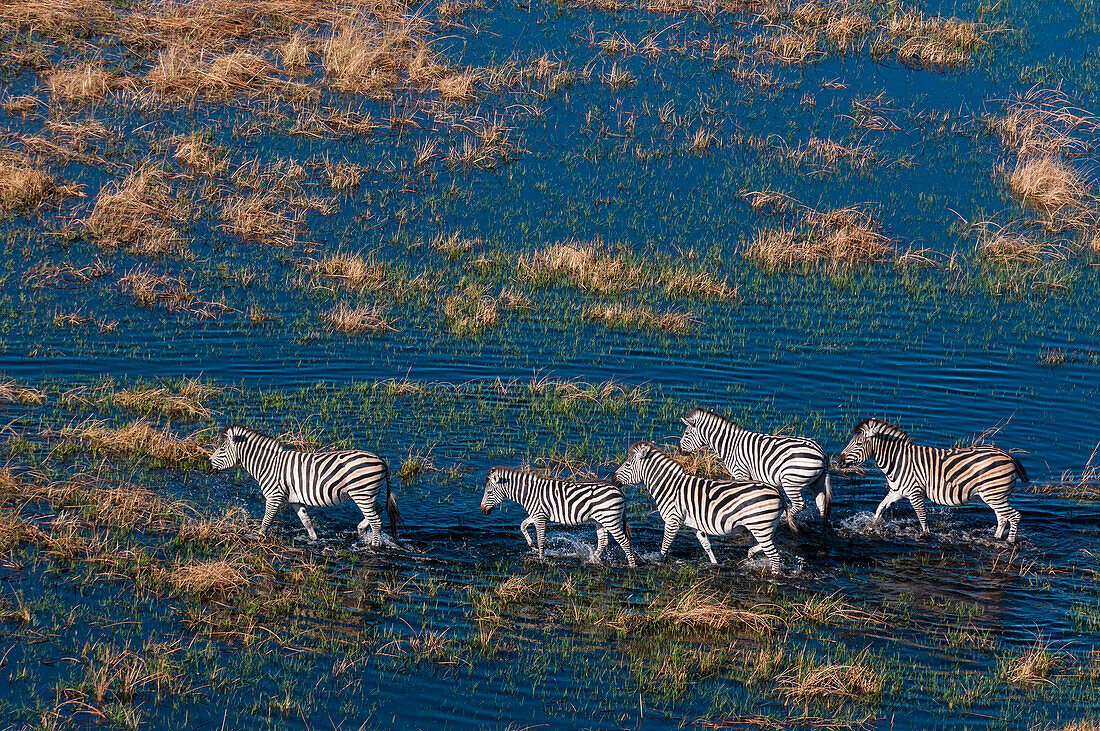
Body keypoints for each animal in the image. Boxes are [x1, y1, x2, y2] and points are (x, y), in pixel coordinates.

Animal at [207, 422, 402, 547]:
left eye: (222, 449)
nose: (207, 466)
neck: (268, 464)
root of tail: (382, 462)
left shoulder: (274, 496)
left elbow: (266, 521)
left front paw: (258, 538)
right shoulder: (295, 499)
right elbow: (306, 521)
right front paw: (313, 539)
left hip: (362, 493)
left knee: (376, 521)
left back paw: (374, 547)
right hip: (368, 494)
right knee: (377, 510)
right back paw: (361, 530)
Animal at [479, 463, 638, 567]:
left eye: (489, 492)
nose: (482, 511)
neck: (530, 493)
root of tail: (619, 491)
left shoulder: (540, 517)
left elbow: (541, 539)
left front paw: (541, 558)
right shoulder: (537, 514)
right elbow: (522, 525)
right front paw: (532, 545)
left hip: (610, 519)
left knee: (624, 541)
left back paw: (632, 566)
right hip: (601, 519)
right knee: (603, 541)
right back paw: (592, 560)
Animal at [616, 435, 787, 571]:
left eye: (628, 465)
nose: (612, 479)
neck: (670, 487)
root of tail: (778, 492)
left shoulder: (673, 520)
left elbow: (665, 546)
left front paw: (658, 562)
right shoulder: (695, 524)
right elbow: (706, 546)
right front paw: (714, 563)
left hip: (760, 524)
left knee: (774, 556)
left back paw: (774, 576)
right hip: (765, 526)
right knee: (767, 547)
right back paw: (751, 553)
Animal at [677, 406, 831, 534]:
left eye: (686, 434)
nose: (679, 451)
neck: (730, 445)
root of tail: (822, 453)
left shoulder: (741, 472)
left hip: (791, 481)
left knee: (799, 504)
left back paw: (782, 518)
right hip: (816, 482)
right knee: (822, 506)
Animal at [836, 415, 1025, 540]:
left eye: (858, 444)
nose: (838, 461)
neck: (898, 461)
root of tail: (1009, 456)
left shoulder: (915, 493)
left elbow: (922, 517)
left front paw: (925, 535)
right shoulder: (896, 491)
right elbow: (879, 508)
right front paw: (871, 527)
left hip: (994, 494)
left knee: (1014, 515)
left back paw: (1008, 542)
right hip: (997, 495)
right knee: (1002, 517)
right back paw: (996, 538)